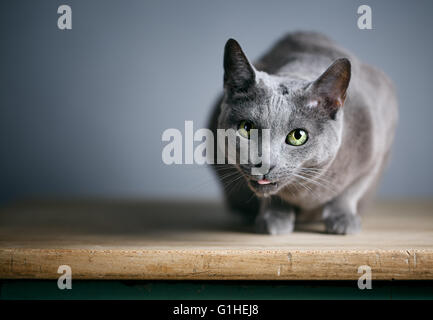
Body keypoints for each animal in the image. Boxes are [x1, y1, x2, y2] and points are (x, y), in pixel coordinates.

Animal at [208, 31, 396, 234]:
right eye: (246, 128)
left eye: (297, 136)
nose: (264, 164)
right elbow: (272, 195)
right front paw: (274, 219)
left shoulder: (375, 152)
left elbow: (350, 191)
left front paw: (342, 220)